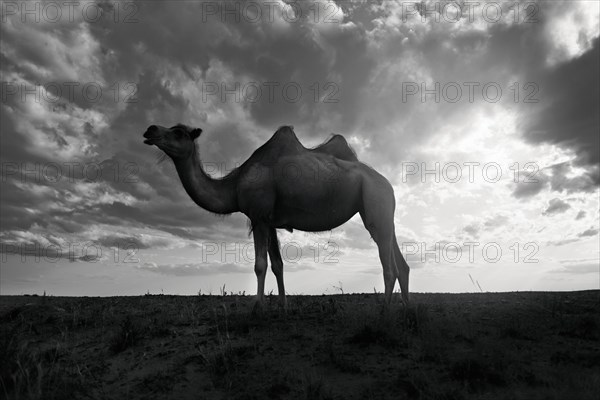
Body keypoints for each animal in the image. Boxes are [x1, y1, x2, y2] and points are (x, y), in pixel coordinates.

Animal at [143, 123, 410, 308]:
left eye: (179, 132)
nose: (150, 129)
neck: (234, 186)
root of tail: (388, 185)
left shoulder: (258, 216)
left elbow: (260, 265)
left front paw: (257, 308)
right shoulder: (269, 221)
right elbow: (278, 265)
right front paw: (282, 307)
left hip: (375, 203)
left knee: (389, 266)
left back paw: (383, 313)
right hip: (385, 214)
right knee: (402, 264)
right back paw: (407, 312)